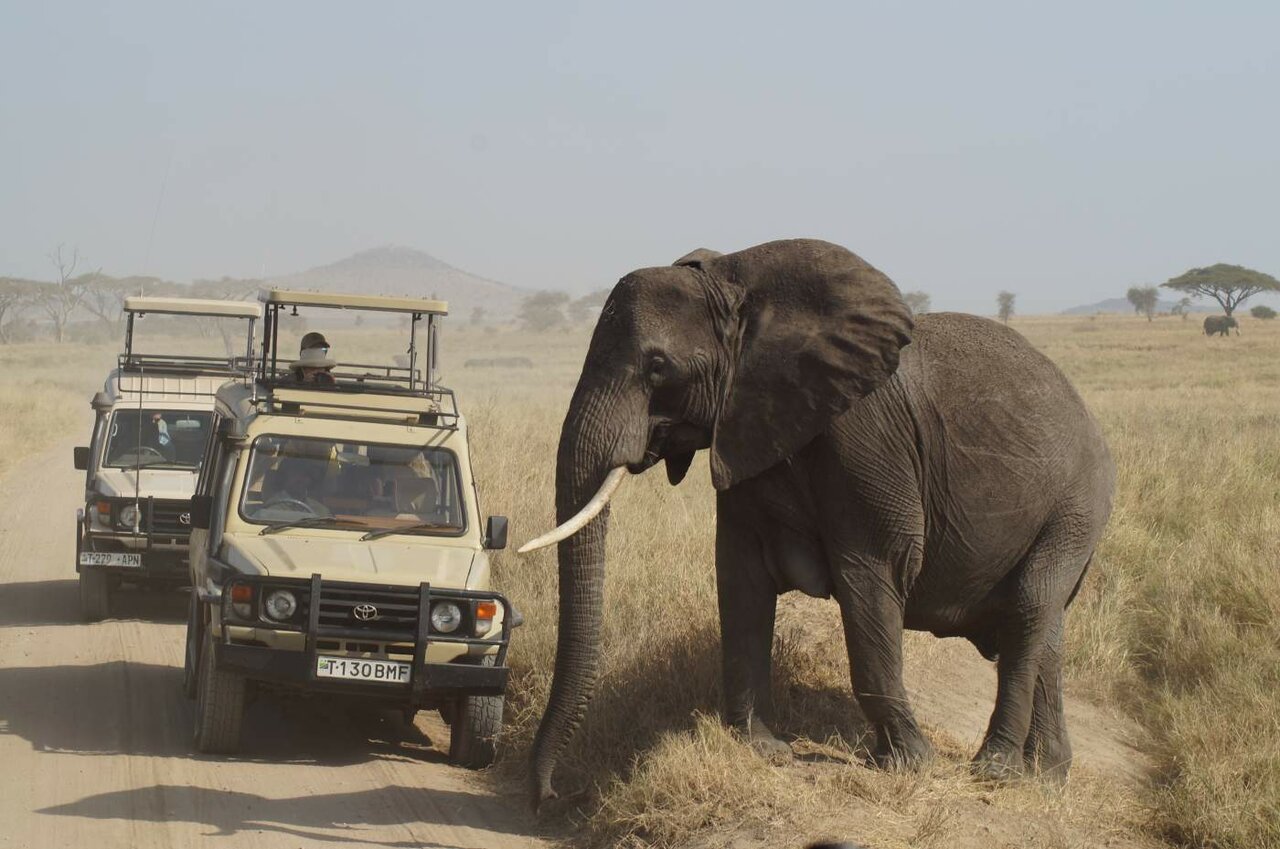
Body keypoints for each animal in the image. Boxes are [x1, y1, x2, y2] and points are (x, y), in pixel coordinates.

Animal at [520, 239, 1115, 807]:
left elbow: (872, 574)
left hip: (1077, 507)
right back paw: (1047, 778)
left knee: (1030, 608)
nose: (551, 795)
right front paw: (762, 748)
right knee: (1043, 628)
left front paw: (910, 763)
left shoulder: (865, 438)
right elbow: (741, 578)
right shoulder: (747, 428)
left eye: (658, 366)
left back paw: (996, 772)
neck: (738, 284)